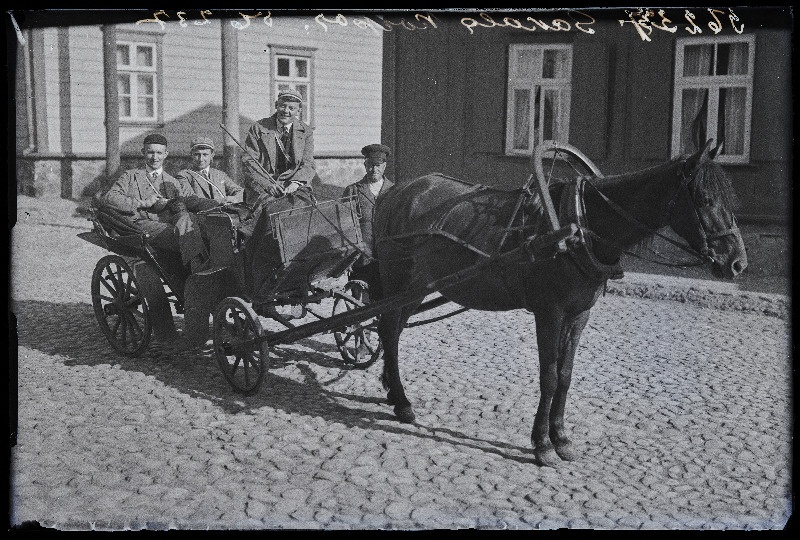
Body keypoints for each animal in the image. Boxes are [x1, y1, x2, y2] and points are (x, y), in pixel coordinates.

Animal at [372, 141, 748, 466]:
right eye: (705, 199)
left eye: (731, 197)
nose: (737, 263)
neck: (580, 225)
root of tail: (397, 191)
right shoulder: (549, 313)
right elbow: (550, 376)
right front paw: (542, 445)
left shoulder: (579, 314)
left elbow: (566, 376)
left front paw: (562, 438)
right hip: (397, 279)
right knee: (388, 329)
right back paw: (403, 402)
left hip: (417, 287)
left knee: (393, 329)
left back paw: (392, 390)